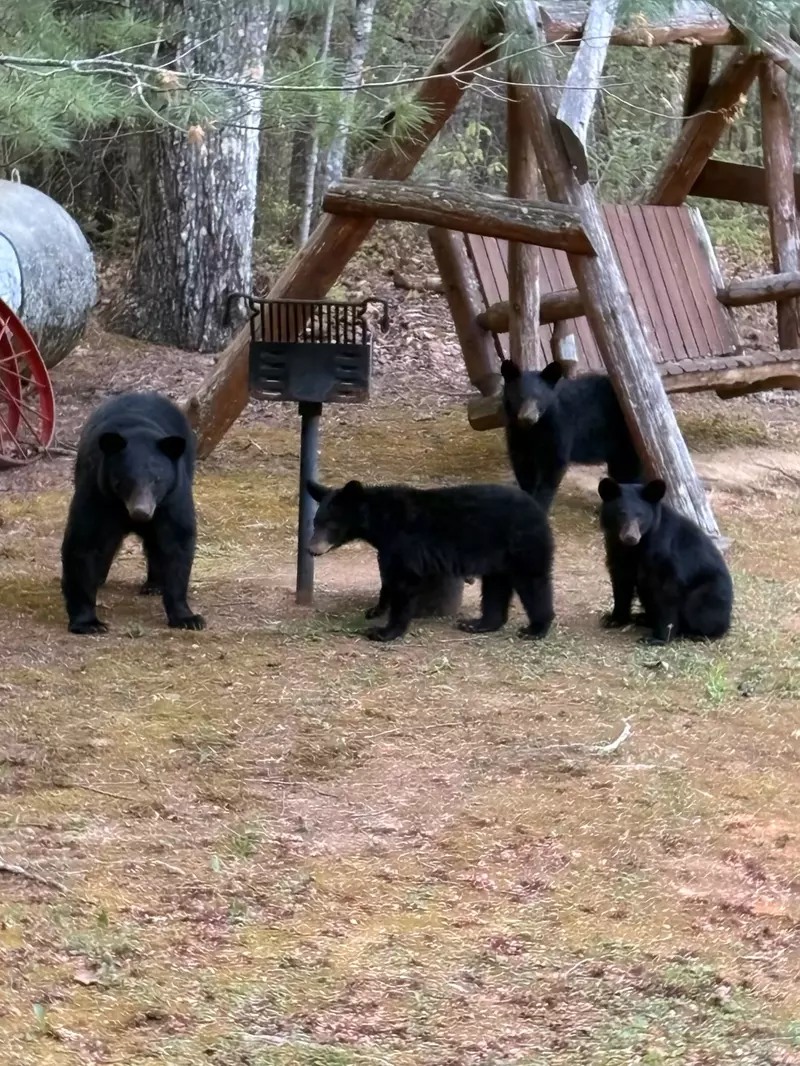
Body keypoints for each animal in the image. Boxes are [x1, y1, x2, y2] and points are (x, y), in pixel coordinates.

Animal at [61, 392, 205, 635]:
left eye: (157, 480)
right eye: (126, 481)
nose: (141, 512)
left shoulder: (172, 498)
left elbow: (177, 541)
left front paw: (188, 618)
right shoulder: (97, 493)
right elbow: (84, 542)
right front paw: (89, 622)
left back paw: (154, 585)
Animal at [306, 479, 554, 643]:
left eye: (331, 524)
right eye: (315, 522)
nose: (311, 549)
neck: (381, 521)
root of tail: (537, 507)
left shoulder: (405, 542)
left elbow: (403, 581)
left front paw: (384, 632)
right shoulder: (388, 547)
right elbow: (387, 577)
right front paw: (375, 609)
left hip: (522, 544)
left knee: (534, 583)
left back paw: (535, 628)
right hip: (497, 556)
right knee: (496, 586)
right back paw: (478, 624)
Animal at [501, 359, 641, 512]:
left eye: (539, 398)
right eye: (519, 397)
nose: (527, 418)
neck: (534, 429)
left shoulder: (560, 427)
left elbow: (553, 465)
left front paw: (540, 504)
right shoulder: (517, 435)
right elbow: (523, 466)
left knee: (630, 470)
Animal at [598, 477, 733, 645]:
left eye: (640, 515)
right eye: (621, 514)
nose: (630, 537)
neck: (636, 548)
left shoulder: (664, 554)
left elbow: (668, 594)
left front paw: (657, 638)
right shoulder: (616, 551)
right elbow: (621, 584)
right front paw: (613, 619)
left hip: (710, 593)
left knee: (700, 608)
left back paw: (695, 633)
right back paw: (643, 617)